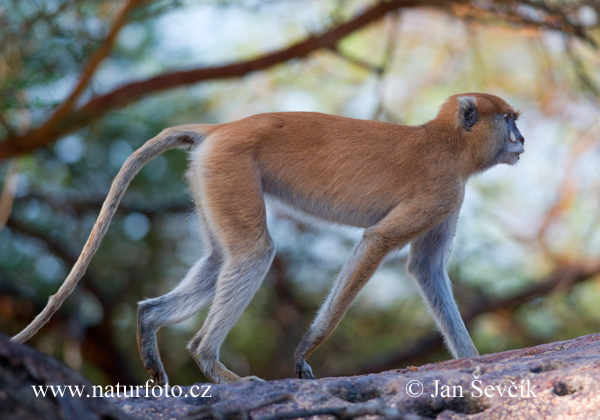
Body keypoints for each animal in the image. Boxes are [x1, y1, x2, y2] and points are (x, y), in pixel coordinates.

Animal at [11, 92, 524, 384]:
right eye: (509, 120)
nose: (521, 140)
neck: (447, 141)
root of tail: (219, 129)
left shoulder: (448, 197)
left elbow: (425, 269)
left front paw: (472, 360)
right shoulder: (441, 189)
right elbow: (377, 242)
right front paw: (306, 350)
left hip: (210, 177)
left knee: (222, 259)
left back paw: (150, 322)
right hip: (230, 166)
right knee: (254, 254)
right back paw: (213, 364)